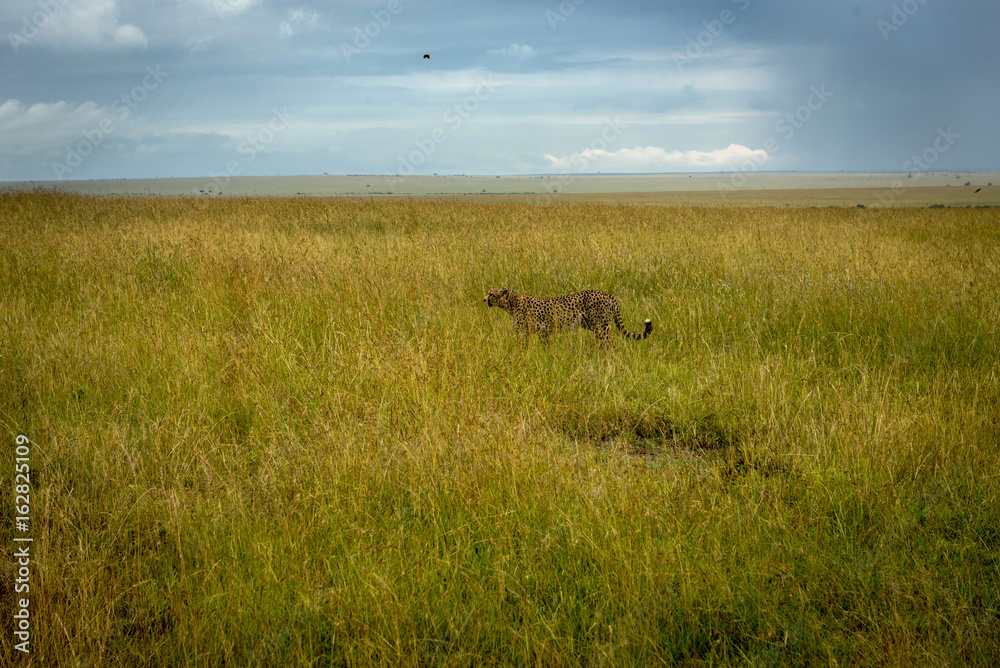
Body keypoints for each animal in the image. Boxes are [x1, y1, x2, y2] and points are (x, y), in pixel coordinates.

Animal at [484, 286, 652, 348]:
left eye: (491, 293)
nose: (484, 299)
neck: (511, 303)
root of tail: (607, 294)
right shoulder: (544, 332)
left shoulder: (524, 332)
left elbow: (520, 346)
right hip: (595, 327)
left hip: (600, 327)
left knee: (609, 345)